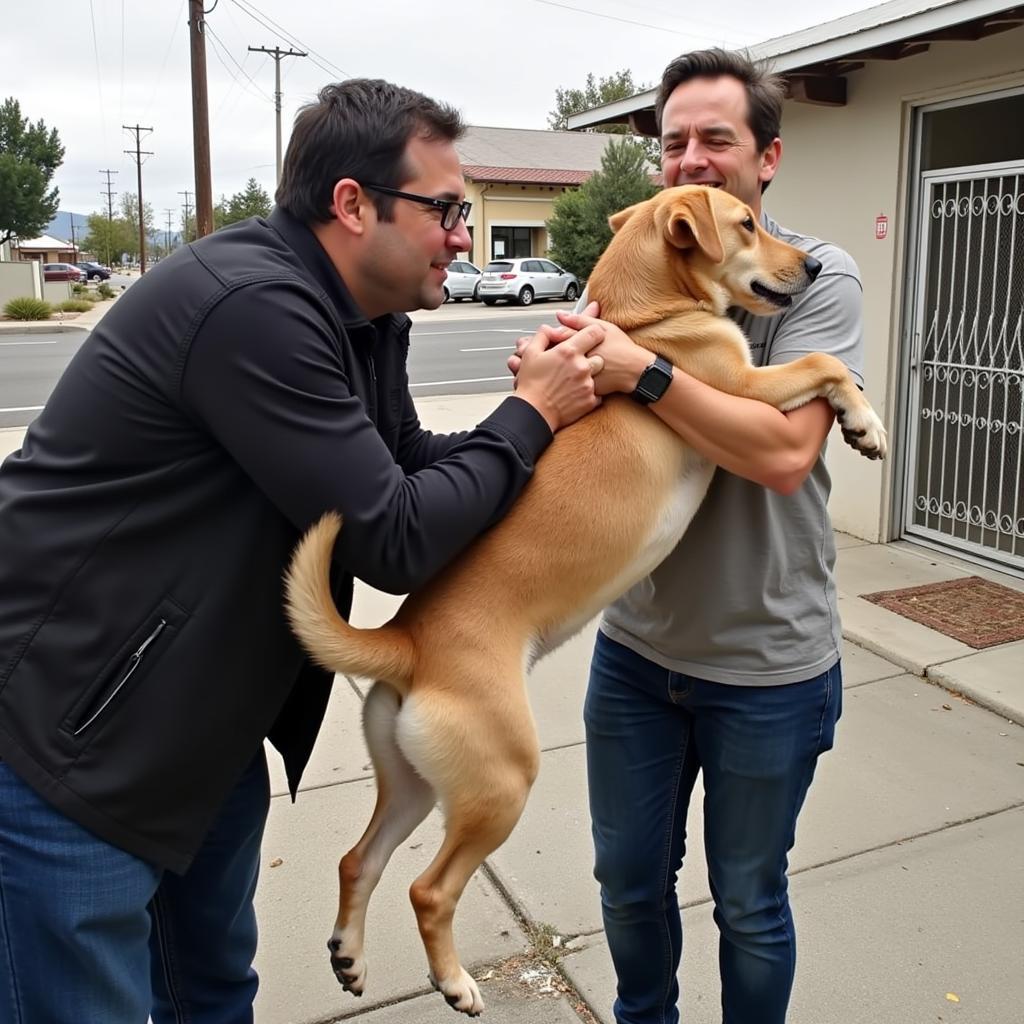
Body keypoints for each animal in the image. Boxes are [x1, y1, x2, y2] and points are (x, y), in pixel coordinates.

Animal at [284, 186, 884, 1015]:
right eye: (744, 224)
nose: (817, 267)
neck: (646, 316)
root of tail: (407, 642)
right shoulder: (743, 391)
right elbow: (824, 361)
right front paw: (865, 421)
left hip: (414, 785)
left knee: (358, 861)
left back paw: (351, 956)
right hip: (501, 783)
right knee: (428, 890)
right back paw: (455, 983)